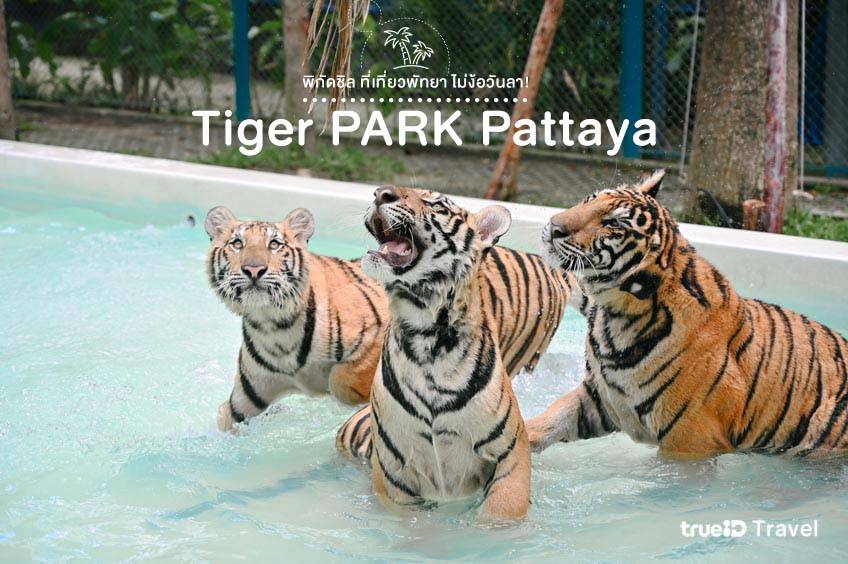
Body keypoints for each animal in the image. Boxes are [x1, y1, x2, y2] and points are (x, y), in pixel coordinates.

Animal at [205, 206, 387, 431]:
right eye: (237, 243)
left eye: (274, 244)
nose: (254, 269)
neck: (273, 327)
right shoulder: (245, 399)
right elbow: (224, 420)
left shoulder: (376, 335)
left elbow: (341, 381)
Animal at [336, 186, 572, 519]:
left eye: (438, 206)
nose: (381, 193)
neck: (425, 334)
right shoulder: (394, 474)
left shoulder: (511, 453)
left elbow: (501, 512)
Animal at [526, 169, 848, 458]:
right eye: (589, 199)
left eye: (613, 223)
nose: (553, 226)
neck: (616, 315)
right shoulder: (600, 400)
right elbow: (547, 422)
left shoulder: (690, 437)